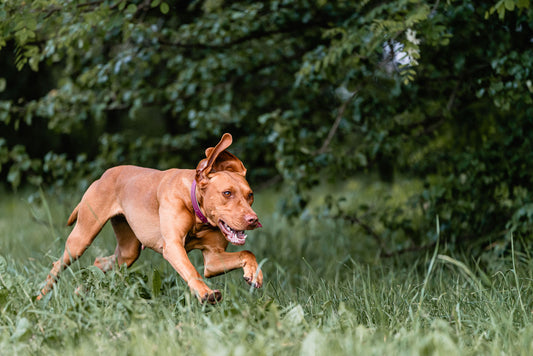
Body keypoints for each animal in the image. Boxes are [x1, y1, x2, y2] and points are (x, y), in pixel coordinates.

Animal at [37, 134, 262, 304]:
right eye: (227, 193)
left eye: (250, 195)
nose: (253, 219)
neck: (197, 212)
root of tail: (103, 176)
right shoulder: (173, 246)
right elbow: (191, 271)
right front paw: (205, 293)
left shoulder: (213, 259)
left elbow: (247, 252)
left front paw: (254, 273)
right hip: (81, 239)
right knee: (57, 266)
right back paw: (39, 299)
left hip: (128, 252)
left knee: (99, 262)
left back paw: (82, 291)